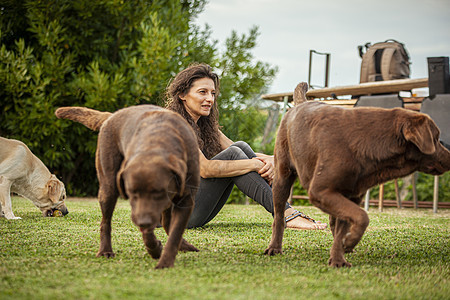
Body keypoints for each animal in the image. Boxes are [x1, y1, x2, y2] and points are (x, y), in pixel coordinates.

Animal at [55, 104, 200, 268]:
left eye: (159, 192)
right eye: (132, 193)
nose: (142, 222)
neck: (158, 139)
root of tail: (111, 115)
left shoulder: (186, 199)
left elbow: (175, 233)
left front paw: (165, 261)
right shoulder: (140, 207)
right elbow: (148, 232)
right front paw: (155, 249)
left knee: (167, 223)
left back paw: (183, 245)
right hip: (108, 184)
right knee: (105, 221)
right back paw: (105, 251)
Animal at [264, 82, 450, 268]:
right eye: (436, 138)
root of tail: (300, 104)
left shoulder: (349, 195)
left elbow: (345, 225)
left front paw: (339, 257)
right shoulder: (320, 190)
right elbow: (362, 216)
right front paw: (348, 243)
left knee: (333, 221)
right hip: (283, 176)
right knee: (279, 216)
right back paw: (274, 248)